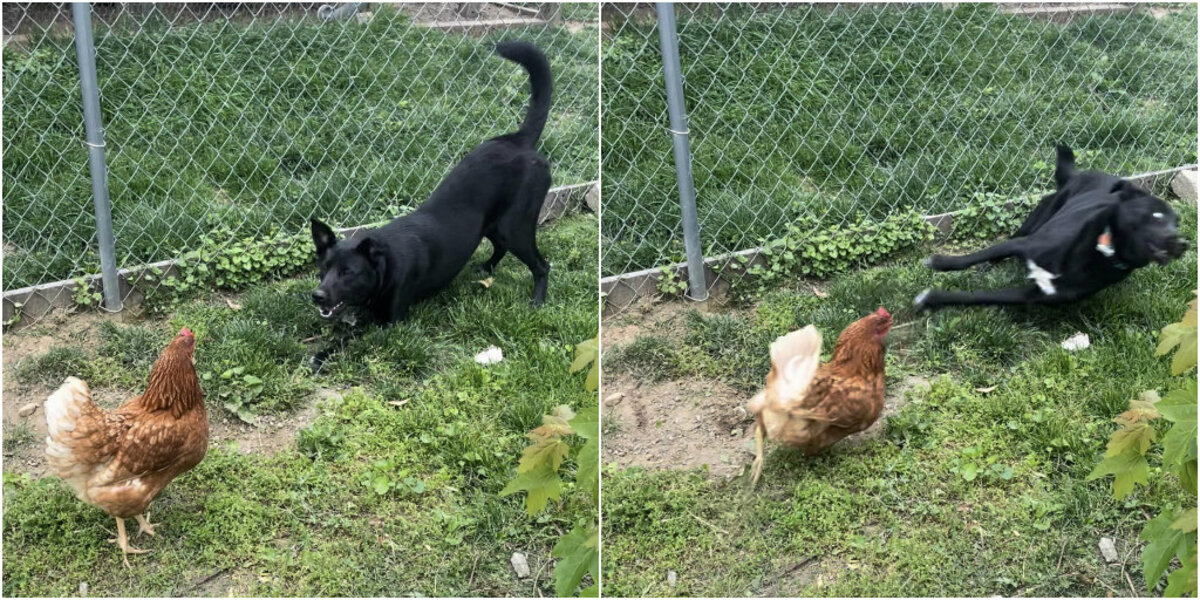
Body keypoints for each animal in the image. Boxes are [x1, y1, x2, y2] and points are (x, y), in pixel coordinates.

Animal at [309, 40, 552, 326]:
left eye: (348, 272)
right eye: (323, 269)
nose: (318, 296)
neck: (386, 264)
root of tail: (519, 140)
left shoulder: (390, 322)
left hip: (516, 227)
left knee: (542, 266)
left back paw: (538, 301)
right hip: (493, 223)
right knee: (501, 247)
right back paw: (487, 267)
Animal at [912, 145, 1185, 312]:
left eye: (1177, 222)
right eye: (1157, 216)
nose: (1183, 243)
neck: (1101, 252)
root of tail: (1078, 174)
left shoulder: (1033, 295)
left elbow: (978, 297)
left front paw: (933, 298)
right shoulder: (1023, 244)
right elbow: (971, 257)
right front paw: (939, 263)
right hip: (1037, 218)